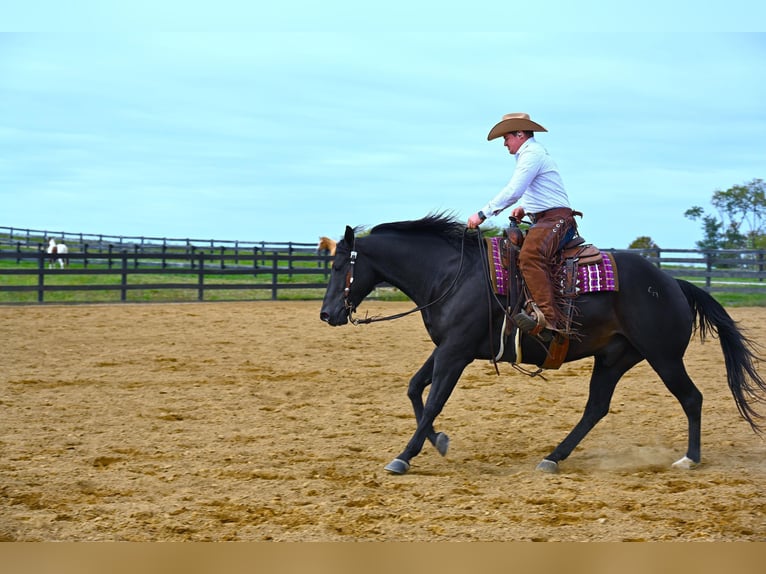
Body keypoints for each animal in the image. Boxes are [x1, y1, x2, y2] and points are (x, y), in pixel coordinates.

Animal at [320, 214, 766, 474]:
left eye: (340, 265)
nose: (327, 314)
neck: (452, 274)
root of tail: (673, 282)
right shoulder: (445, 348)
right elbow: (415, 390)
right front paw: (437, 441)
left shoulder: (455, 353)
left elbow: (432, 402)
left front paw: (404, 456)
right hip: (614, 358)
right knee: (596, 407)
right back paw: (553, 457)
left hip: (663, 356)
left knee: (691, 398)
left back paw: (690, 458)